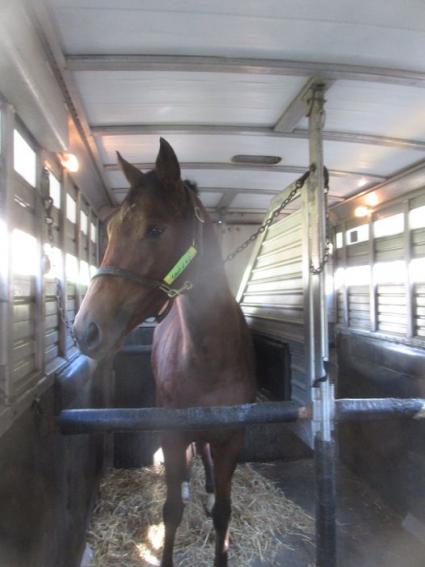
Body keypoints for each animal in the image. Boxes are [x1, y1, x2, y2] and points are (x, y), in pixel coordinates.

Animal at [73, 139, 255, 567]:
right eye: (109, 229)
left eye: (155, 229)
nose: (84, 330)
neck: (209, 357)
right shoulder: (172, 434)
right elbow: (171, 510)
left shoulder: (232, 438)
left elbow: (224, 512)